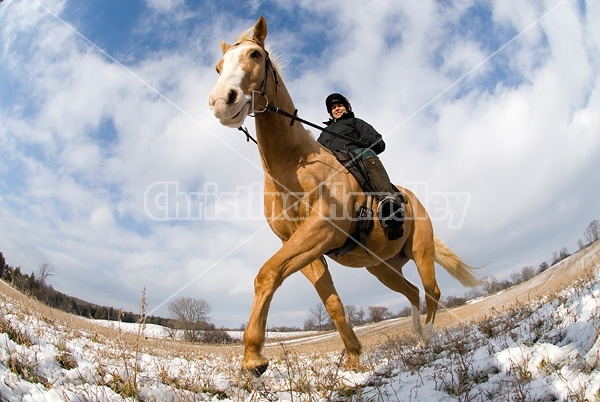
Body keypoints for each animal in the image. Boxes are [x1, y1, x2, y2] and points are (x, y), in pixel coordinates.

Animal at [209, 15, 480, 374]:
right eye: (218, 67)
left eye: (255, 54)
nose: (221, 101)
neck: (293, 166)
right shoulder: (304, 247)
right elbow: (330, 301)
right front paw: (352, 355)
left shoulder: (322, 230)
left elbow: (267, 274)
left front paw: (254, 355)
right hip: (381, 266)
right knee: (411, 292)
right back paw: (415, 333)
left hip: (421, 252)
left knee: (431, 291)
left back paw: (426, 338)